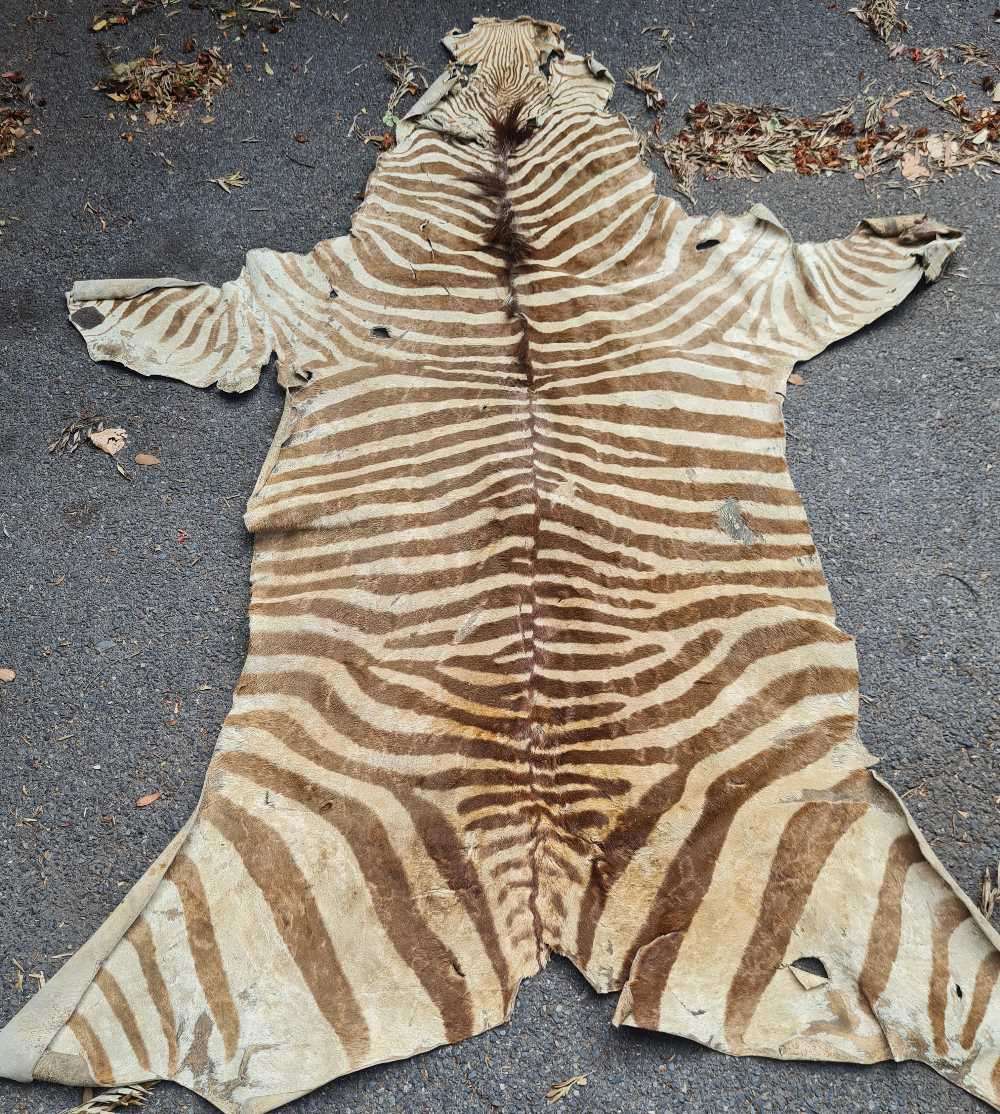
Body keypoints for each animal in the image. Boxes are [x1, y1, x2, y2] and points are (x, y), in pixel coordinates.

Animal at [1, 15, 996, 1114]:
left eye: (554, 55)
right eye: (459, 64)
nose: (511, 26)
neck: (507, 187)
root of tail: (544, 894)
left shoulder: (752, 284)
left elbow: (839, 267)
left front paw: (913, 233)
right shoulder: (290, 290)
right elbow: (189, 307)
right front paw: (95, 303)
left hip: (812, 831)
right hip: (273, 858)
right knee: (102, 1022)